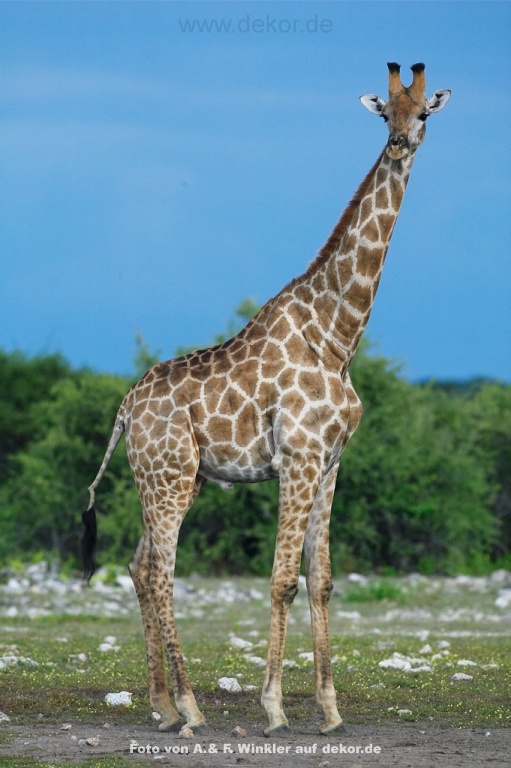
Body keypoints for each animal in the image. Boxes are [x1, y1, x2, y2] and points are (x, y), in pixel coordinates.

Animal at [81, 63, 450, 736]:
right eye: (386, 112)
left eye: (424, 113)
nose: (400, 143)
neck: (337, 335)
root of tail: (123, 410)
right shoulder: (298, 459)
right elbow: (281, 580)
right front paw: (275, 706)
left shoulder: (331, 463)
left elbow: (322, 579)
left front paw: (330, 710)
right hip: (169, 477)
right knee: (160, 572)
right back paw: (191, 707)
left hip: (177, 478)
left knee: (138, 566)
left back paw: (161, 705)